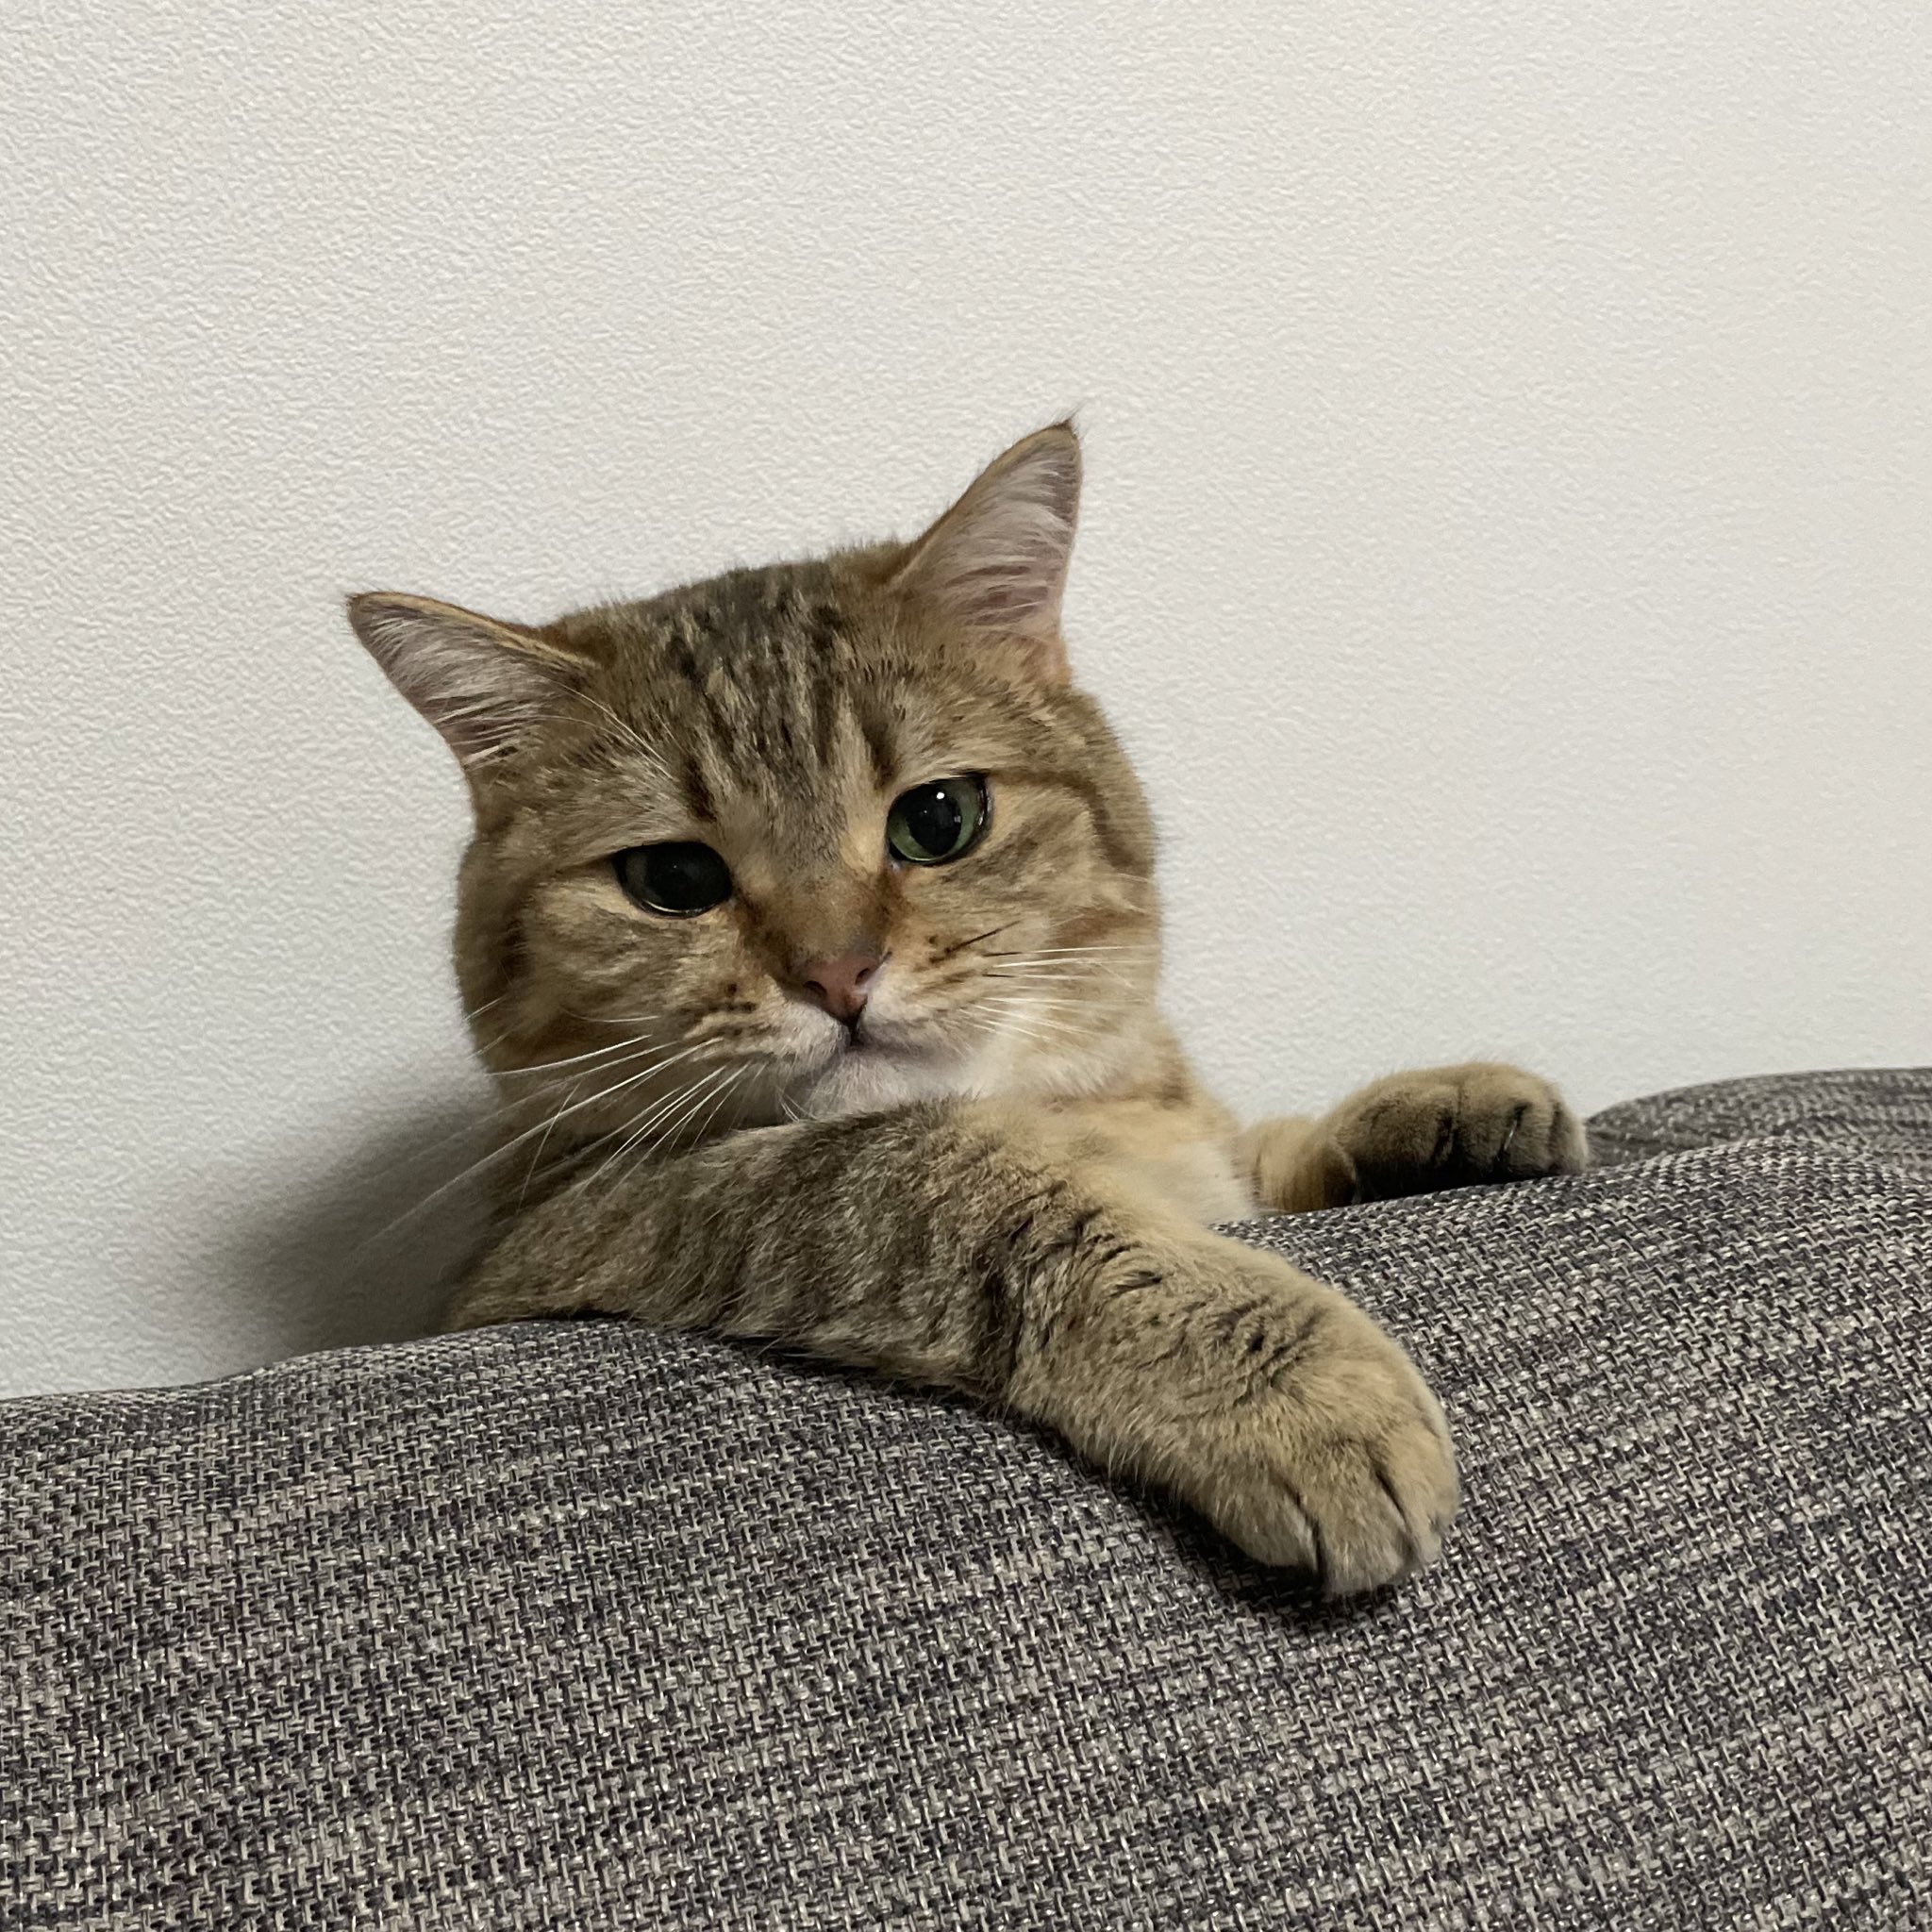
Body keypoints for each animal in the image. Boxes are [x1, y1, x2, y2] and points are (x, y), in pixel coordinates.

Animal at [348, 423, 1587, 1595]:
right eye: (673, 879)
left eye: (937, 817)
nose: (835, 973)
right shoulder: (588, 1216)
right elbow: (970, 1189)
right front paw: (1294, 1384)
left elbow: (1253, 1151)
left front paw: (1438, 1106)